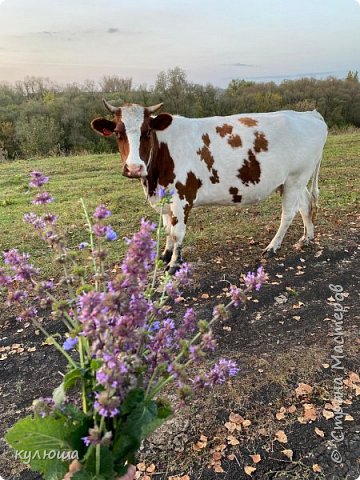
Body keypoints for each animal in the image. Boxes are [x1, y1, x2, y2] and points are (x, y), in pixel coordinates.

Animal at [91, 100, 328, 274]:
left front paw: (174, 264)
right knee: (305, 205)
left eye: (147, 131)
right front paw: (165, 255)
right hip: (292, 181)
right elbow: (167, 229)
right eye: (118, 133)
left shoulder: (182, 198)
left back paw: (273, 247)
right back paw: (307, 238)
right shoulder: (164, 198)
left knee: (288, 213)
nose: (133, 168)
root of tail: (310, 114)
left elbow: (177, 233)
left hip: (296, 178)